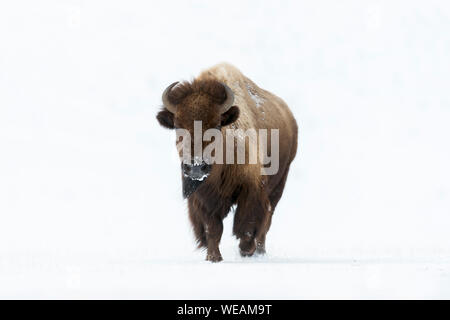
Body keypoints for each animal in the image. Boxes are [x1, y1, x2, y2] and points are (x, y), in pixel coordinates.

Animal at [156, 63, 298, 262]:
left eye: (216, 125)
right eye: (177, 126)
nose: (195, 168)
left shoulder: (252, 189)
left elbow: (247, 224)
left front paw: (245, 250)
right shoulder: (203, 198)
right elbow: (213, 229)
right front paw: (213, 257)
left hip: (279, 184)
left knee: (267, 219)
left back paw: (259, 251)